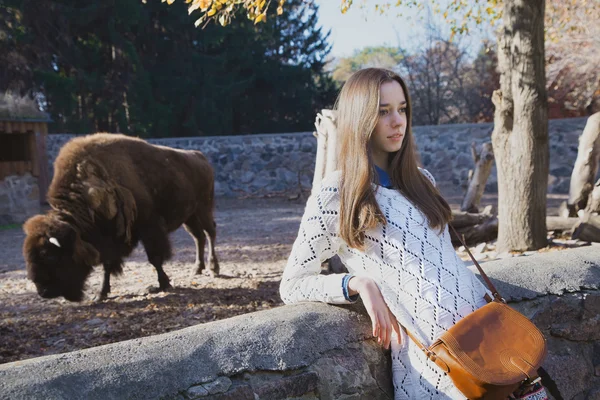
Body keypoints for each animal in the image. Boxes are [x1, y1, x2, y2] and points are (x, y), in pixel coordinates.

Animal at [24, 133, 220, 302]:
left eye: (49, 256)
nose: (43, 292)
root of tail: (201, 157)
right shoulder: (109, 240)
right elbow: (107, 265)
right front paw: (100, 294)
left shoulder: (149, 228)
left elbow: (154, 258)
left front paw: (164, 284)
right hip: (189, 216)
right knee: (198, 237)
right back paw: (197, 269)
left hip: (204, 208)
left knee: (209, 233)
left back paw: (213, 269)